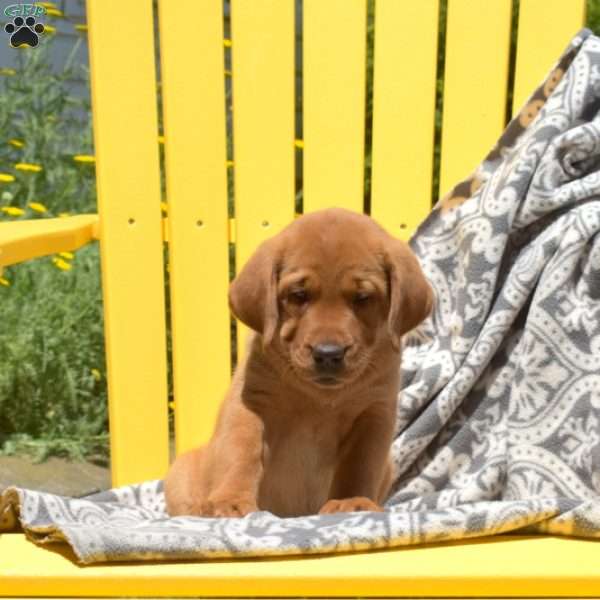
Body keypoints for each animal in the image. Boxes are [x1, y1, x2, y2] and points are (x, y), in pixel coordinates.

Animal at [166, 209, 434, 516]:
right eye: (298, 295)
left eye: (363, 298)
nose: (328, 353)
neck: (320, 397)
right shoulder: (250, 403)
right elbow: (241, 452)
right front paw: (230, 500)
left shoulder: (373, 413)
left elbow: (360, 464)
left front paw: (351, 501)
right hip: (181, 470)